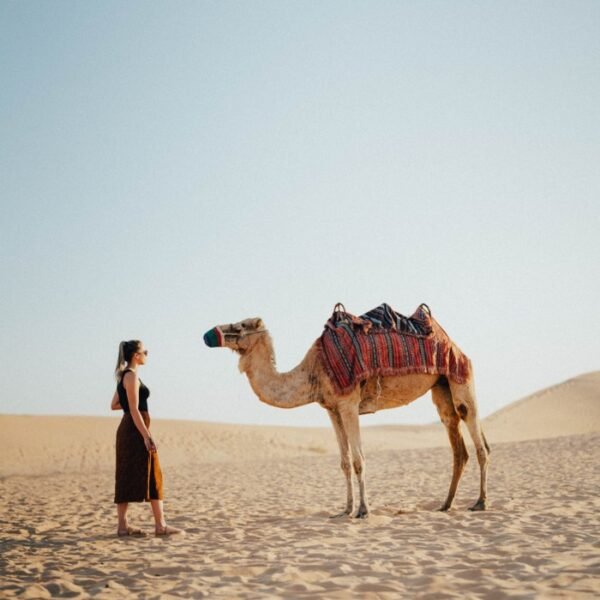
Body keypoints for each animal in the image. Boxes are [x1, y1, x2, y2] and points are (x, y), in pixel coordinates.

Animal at [204, 312, 490, 516]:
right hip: (440, 386)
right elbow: (343, 462)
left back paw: (480, 502)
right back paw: (446, 504)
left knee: (477, 438)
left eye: (242, 325)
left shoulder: (349, 403)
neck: (315, 369)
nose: (209, 334)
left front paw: (363, 510)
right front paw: (345, 509)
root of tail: (455, 346)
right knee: (457, 442)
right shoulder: (332, 409)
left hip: (461, 377)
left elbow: (358, 459)